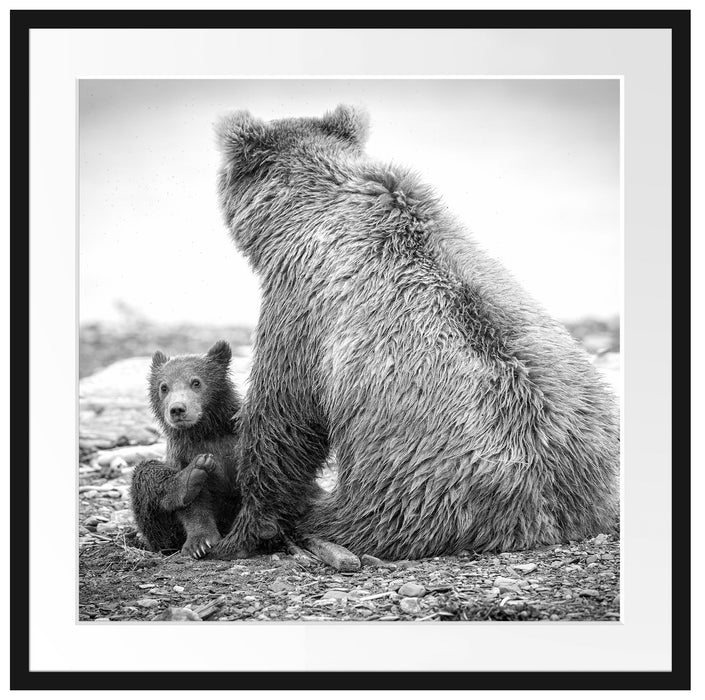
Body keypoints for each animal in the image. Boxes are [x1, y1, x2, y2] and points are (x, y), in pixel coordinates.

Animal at [131, 340, 242, 558]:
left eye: (196, 382)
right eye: (164, 387)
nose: (177, 409)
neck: (206, 431)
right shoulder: (183, 453)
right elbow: (194, 507)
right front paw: (200, 543)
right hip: (164, 535)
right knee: (146, 473)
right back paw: (189, 477)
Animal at [210, 104, 620, 561]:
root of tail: (548, 511)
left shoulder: (302, 303)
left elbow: (283, 415)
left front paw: (243, 531)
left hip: (415, 489)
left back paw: (313, 524)